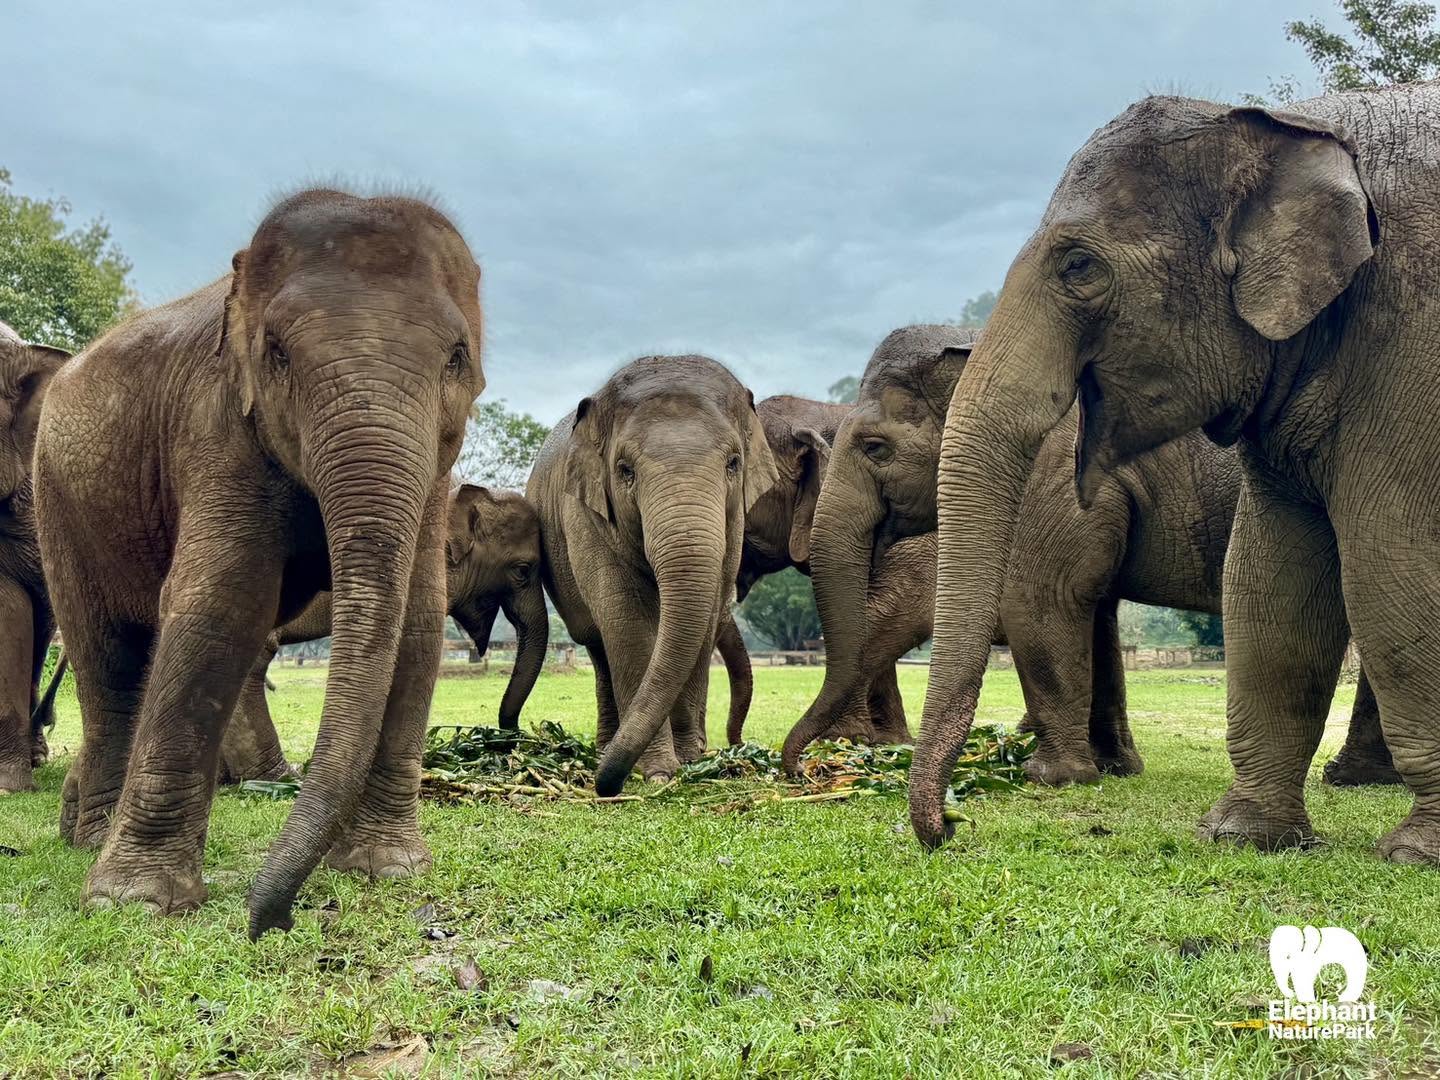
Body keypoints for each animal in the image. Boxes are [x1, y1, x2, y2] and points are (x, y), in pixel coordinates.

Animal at [34, 189, 485, 935]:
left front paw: (386, 870)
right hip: (59, 502)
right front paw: (135, 904)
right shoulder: (216, 426)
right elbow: (223, 602)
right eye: (277, 354)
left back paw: (82, 828)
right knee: (107, 656)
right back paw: (92, 836)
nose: (270, 920)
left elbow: (419, 620)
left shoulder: (434, 472)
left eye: (456, 357)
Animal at [527, 355, 778, 794]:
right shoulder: (584, 513)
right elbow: (627, 622)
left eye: (734, 463)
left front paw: (691, 762)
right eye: (625, 470)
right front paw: (659, 771)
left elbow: (704, 622)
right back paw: (606, 748)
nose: (603, 785)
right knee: (599, 646)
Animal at [911, 87, 1440, 863]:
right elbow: (1269, 577)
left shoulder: (1409, 341)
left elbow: (1390, 564)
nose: (949, 826)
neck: (1302, 125)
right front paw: (1243, 836)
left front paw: (1417, 853)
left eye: (1079, 266)